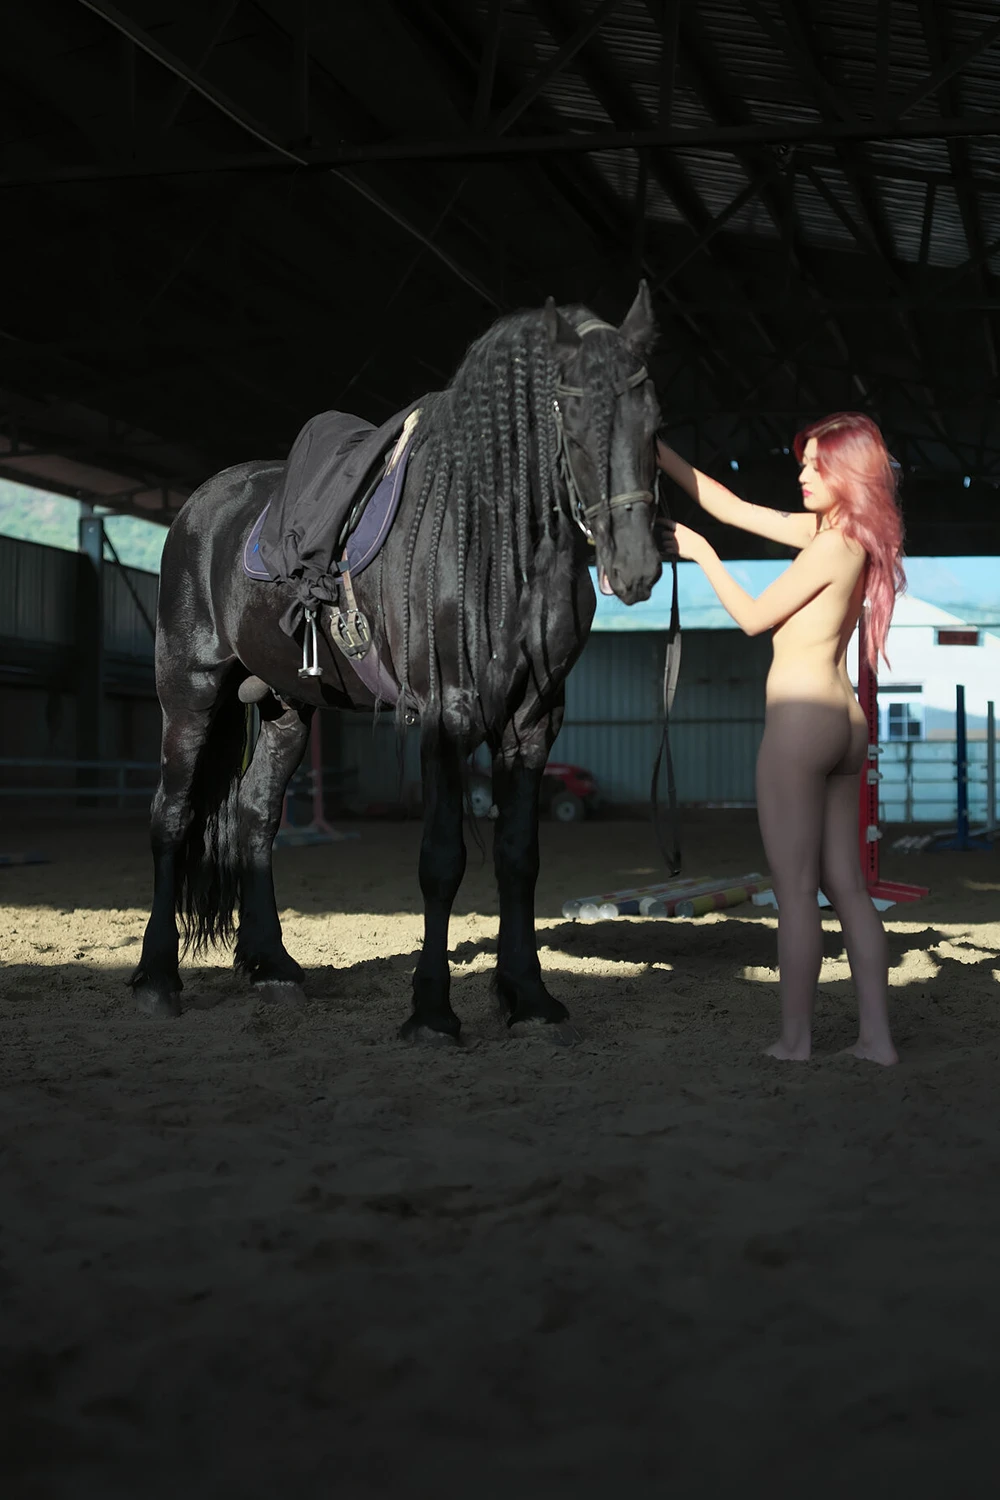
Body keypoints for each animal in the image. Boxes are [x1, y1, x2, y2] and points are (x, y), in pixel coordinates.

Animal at [131, 283, 666, 1044]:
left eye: (654, 420)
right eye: (573, 414)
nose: (637, 568)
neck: (491, 539)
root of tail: (198, 510)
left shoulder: (534, 721)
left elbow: (519, 859)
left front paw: (530, 999)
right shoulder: (448, 715)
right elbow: (442, 860)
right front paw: (433, 1014)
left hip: (287, 708)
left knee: (255, 817)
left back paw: (273, 969)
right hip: (190, 694)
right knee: (171, 817)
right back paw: (157, 980)